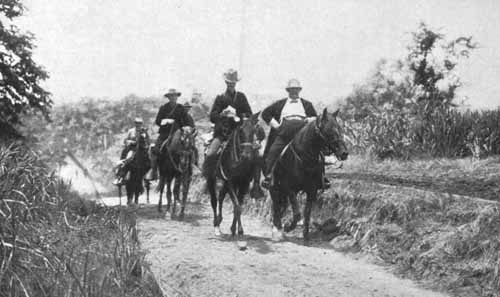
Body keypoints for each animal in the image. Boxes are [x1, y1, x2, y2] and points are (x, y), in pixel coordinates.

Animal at [270, 107, 348, 242]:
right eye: (329, 131)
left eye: (340, 128)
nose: (344, 153)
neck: (305, 158)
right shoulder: (289, 188)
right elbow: (297, 214)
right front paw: (288, 227)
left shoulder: (311, 191)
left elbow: (306, 212)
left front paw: (305, 234)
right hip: (276, 190)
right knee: (276, 208)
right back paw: (278, 229)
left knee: (282, 207)